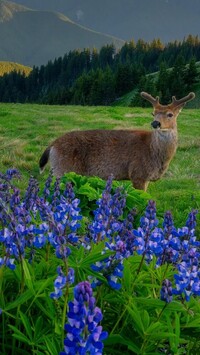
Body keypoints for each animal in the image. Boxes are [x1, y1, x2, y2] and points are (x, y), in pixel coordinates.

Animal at [39, 92, 195, 192]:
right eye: (153, 113)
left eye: (170, 114)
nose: (155, 123)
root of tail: (52, 145)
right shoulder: (138, 173)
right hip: (62, 169)